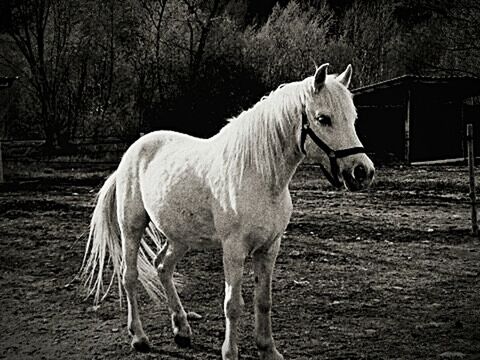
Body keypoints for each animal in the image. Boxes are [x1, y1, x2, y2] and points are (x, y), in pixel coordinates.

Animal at [81, 64, 376, 360]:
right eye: (323, 119)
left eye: (353, 118)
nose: (362, 172)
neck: (259, 176)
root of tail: (131, 152)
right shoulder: (234, 249)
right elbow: (233, 304)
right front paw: (230, 351)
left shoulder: (269, 248)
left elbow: (264, 300)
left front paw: (268, 349)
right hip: (132, 226)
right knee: (129, 276)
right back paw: (139, 337)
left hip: (180, 236)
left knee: (163, 267)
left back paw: (182, 330)